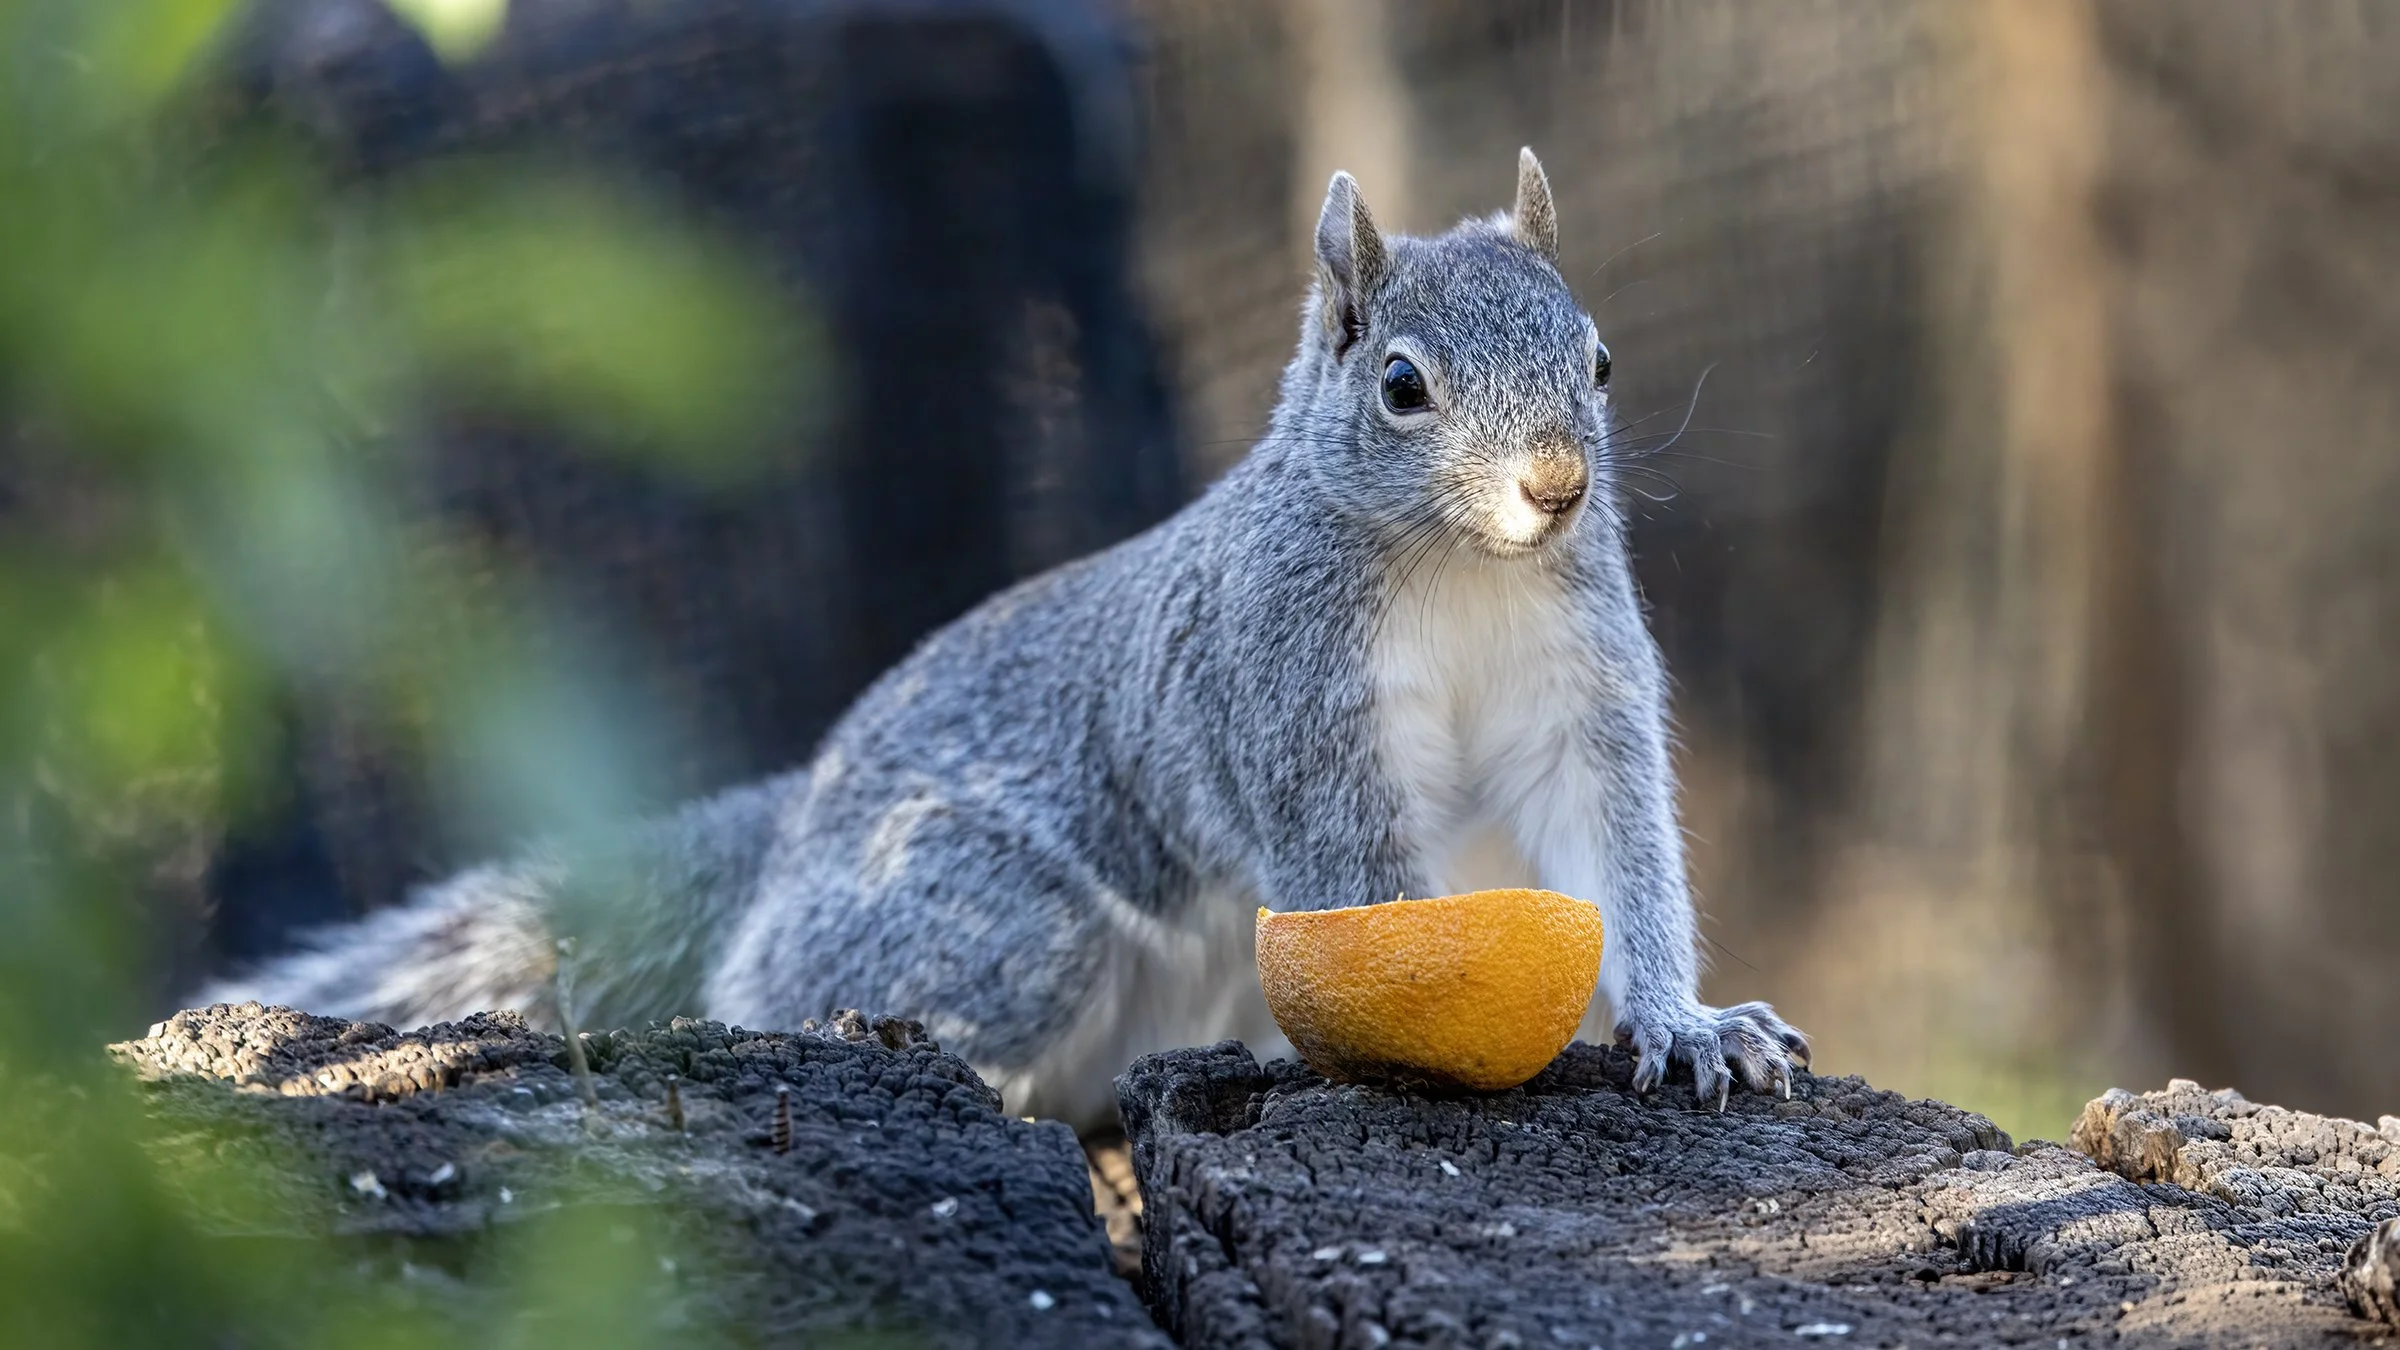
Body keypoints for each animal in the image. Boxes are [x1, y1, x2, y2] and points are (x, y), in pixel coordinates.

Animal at [203, 150, 1808, 1128]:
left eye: (1599, 360)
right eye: (1402, 386)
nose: (1559, 486)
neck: (1463, 570)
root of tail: (794, 835)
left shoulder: (1576, 690)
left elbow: (1617, 850)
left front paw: (1687, 1022)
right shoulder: (1289, 697)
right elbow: (1367, 887)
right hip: (992, 921)